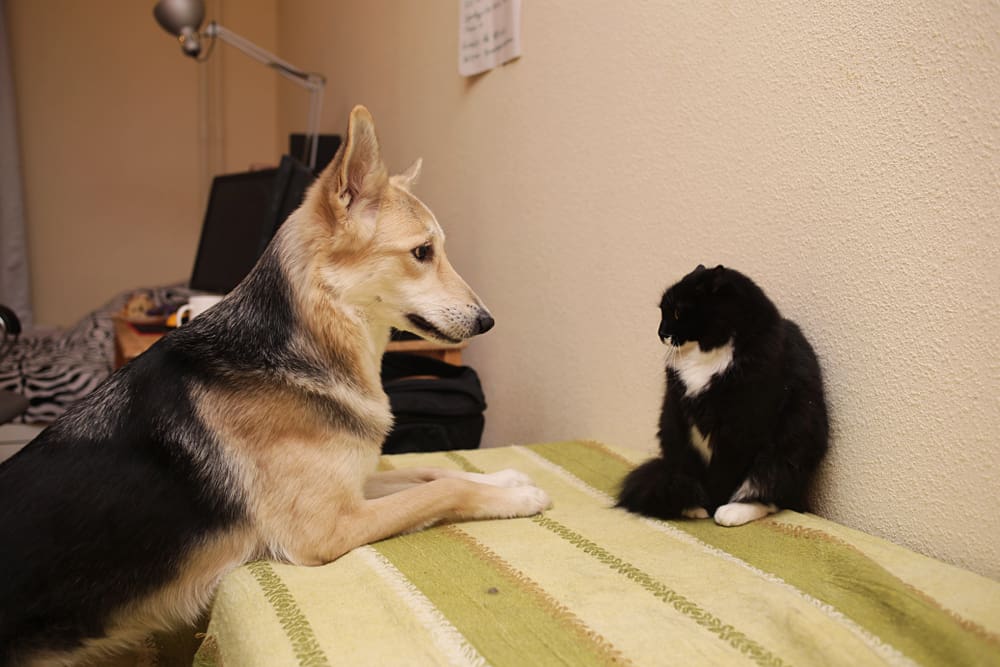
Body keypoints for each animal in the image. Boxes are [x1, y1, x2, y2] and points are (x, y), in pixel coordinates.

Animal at [0, 107, 552, 664]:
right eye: (422, 252)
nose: (488, 322)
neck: (303, 351)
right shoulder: (331, 527)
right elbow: (443, 489)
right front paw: (518, 498)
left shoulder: (353, 488)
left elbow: (431, 472)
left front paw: (505, 477)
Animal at [616, 264, 828, 528]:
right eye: (662, 312)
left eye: (677, 312)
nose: (660, 333)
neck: (707, 356)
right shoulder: (683, 419)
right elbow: (697, 468)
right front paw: (700, 505)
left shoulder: (742, 427)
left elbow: (726, 476)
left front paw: (714, 507)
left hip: (789, 451)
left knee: (770, 494)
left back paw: (730, 512)